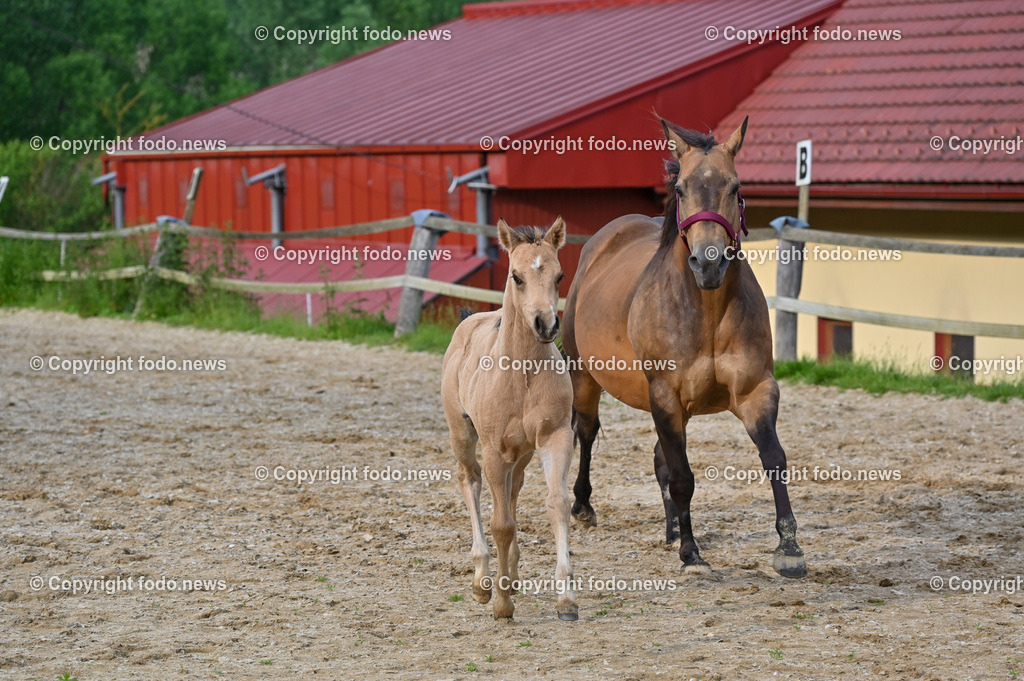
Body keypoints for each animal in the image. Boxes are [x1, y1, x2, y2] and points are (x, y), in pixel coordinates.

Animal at [441, 217, 579, 621]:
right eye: (516, 276)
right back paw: (482, 581)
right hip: (463, 436)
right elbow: (501, 524)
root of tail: (471, 319)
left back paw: (512, 574)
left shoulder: (556, 438)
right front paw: (502, 603)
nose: (546, 324)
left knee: (513, 490)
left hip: (523, 453)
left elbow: (557, 504)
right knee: (470, 482)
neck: (523, 374)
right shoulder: (493, 450)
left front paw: (566, 600)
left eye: (560, 275)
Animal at [561, 116, 807, 579]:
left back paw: (673, 528)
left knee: (659, 456)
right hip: (585, 378)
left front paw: (789, 546)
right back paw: (583, 506)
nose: (708, 263)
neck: (705, 311)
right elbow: (682, 477)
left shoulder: (755, 391)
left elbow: (774, 458)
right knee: (586, 431)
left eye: (736, 187)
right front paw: (692, 554)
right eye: (680, 190)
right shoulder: (665, 396)